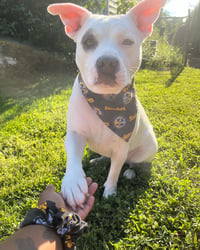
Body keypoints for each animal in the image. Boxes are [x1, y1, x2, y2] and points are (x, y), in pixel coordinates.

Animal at [47, 0, 166, 209]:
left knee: (133, 163)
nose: (107, 62)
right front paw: (72, 182)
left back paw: (130, 171)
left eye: (127, 41)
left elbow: (114, 171)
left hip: (146, 150)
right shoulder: (75, 134)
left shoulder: (121, 147)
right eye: (88, 42)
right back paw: (99, 159)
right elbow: (73, 158)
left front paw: (110, 190)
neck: (105, 101)